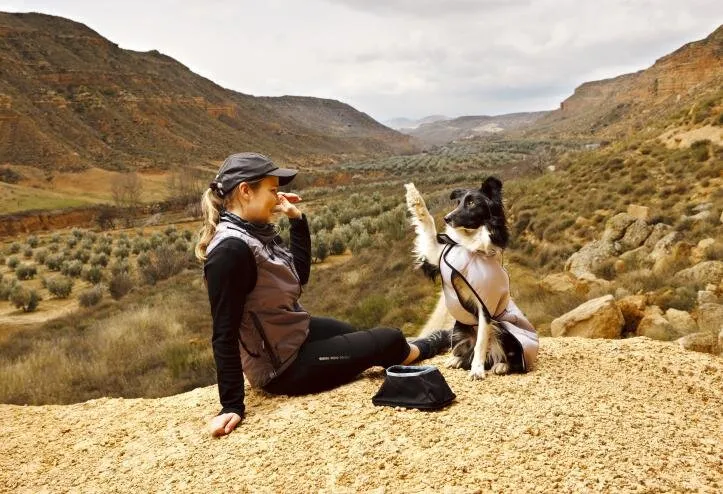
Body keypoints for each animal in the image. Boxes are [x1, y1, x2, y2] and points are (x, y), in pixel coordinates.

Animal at [404, 178, 528, 382]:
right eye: (458, 202)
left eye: (472, 203)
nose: (447, 218)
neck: (470, 247)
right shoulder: (435, 254)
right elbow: (428, 223)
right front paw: (413, 195)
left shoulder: (485, 306)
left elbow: (481, 342)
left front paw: (477, 370)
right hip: (459, 328)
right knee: (466, 349)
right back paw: (457, 359)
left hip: (504, 330)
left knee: (505, 354)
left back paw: (501, 365)